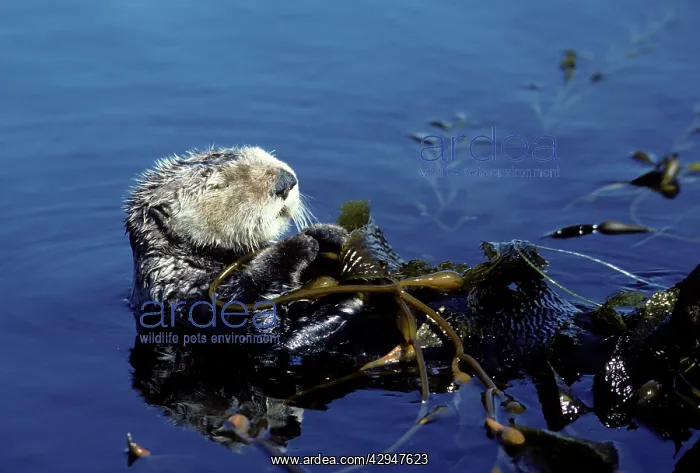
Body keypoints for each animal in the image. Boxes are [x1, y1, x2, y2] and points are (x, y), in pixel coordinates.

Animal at [123, 145, 351, 319]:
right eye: (219, 185)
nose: (286, 181)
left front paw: (328, 234)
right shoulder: (181, 296)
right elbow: (242, 302)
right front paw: (295, 247)